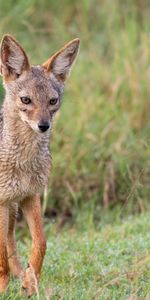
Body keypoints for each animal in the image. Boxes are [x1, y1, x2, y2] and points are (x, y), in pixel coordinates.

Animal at [0, 34, 79, 296]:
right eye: (26, 100)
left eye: (53, 101)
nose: (43, 126)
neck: (23, 160)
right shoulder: (2, 201)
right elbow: (2, 253)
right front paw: (4, 287)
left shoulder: (30, 196)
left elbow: (40, 243)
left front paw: (30, 281)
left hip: (13, 210)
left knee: (12, 243)